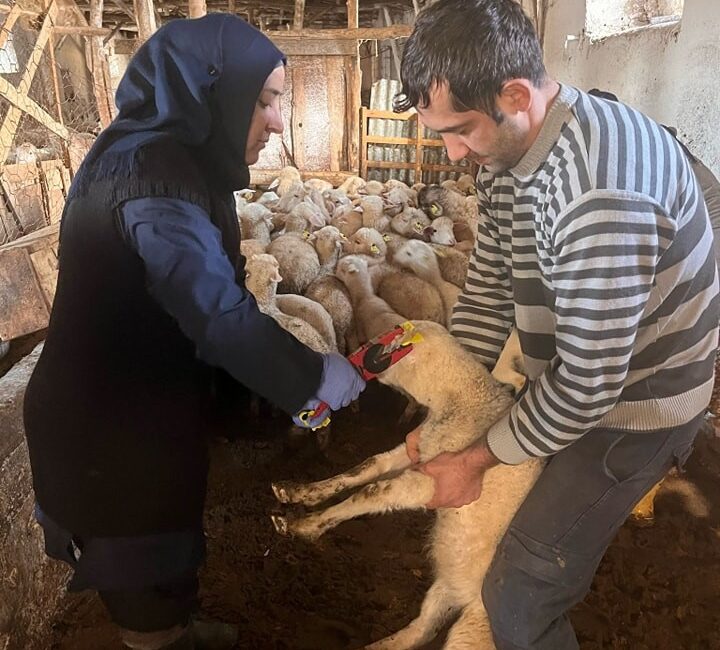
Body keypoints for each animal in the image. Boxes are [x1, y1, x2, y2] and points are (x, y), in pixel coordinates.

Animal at [272, 320, 544, 648]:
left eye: (383, 338)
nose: (350, 358)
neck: (463, 401)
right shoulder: (416, 449)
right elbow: (368, 467)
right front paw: (299, 492)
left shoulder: (434, 480)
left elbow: (373, 492)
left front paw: (303, 525)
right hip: (447, 586)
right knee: (421, 630)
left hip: (474, 629)